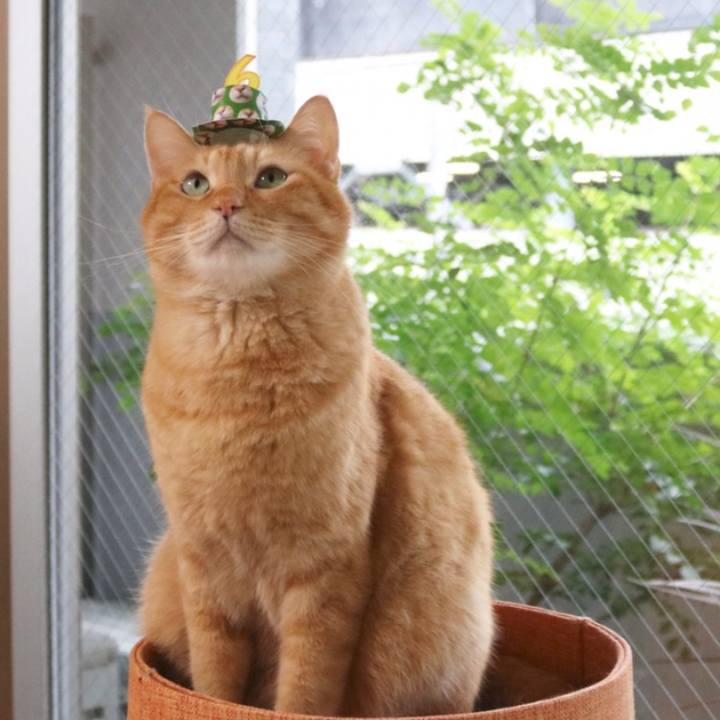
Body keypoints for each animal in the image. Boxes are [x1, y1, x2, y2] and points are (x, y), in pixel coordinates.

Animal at [139, 95, 495, 717]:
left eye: (270, 178)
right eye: (195, 184)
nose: (226, 204)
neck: (236, 383)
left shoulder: (325, 571)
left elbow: (304, 689)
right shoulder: (202, 569)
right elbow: (213, 681)